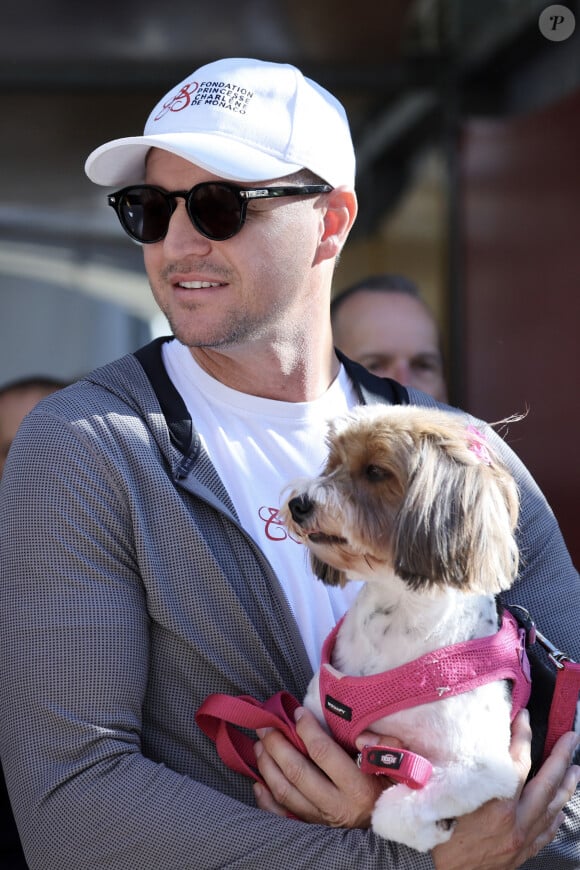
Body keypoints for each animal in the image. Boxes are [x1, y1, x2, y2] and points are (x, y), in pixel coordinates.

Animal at [280, 408, 524, 852]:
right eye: (333, 463)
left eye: (375, 471)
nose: (299, 502)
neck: (397, 613)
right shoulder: (314, 718)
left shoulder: (484, 767)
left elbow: (391, 809)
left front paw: (430, 828)